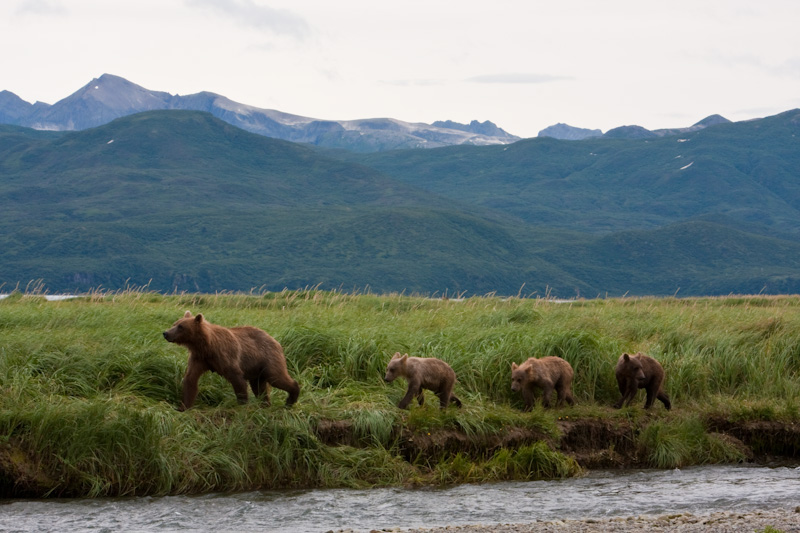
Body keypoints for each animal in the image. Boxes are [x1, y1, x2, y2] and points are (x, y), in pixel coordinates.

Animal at [162, 310, 300, 410]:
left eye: (181, 326)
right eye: (174, 323)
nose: (166, 333)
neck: (206, 345)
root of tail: (275, 340)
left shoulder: (225, 355)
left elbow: (237, 378)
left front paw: (242, 403)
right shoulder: (199, 358)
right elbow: (190, 379)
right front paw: (183, 406)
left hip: (268, 358)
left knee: (276, 377)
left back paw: (290, 399)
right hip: (256, 369)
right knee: (259, 387)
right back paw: (265, 404)